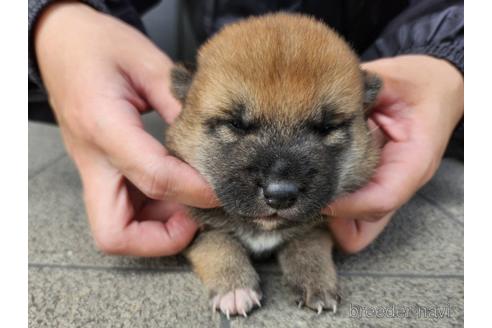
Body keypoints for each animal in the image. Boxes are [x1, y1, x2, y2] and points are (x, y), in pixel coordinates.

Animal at [165, 12, 380, 318]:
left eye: (327, 128)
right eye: (235, 124)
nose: (280, 195)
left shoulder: (319, 225)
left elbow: (308, 244)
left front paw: (316, 281)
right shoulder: (195, 225)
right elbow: (220, 245)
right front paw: (235, 288)